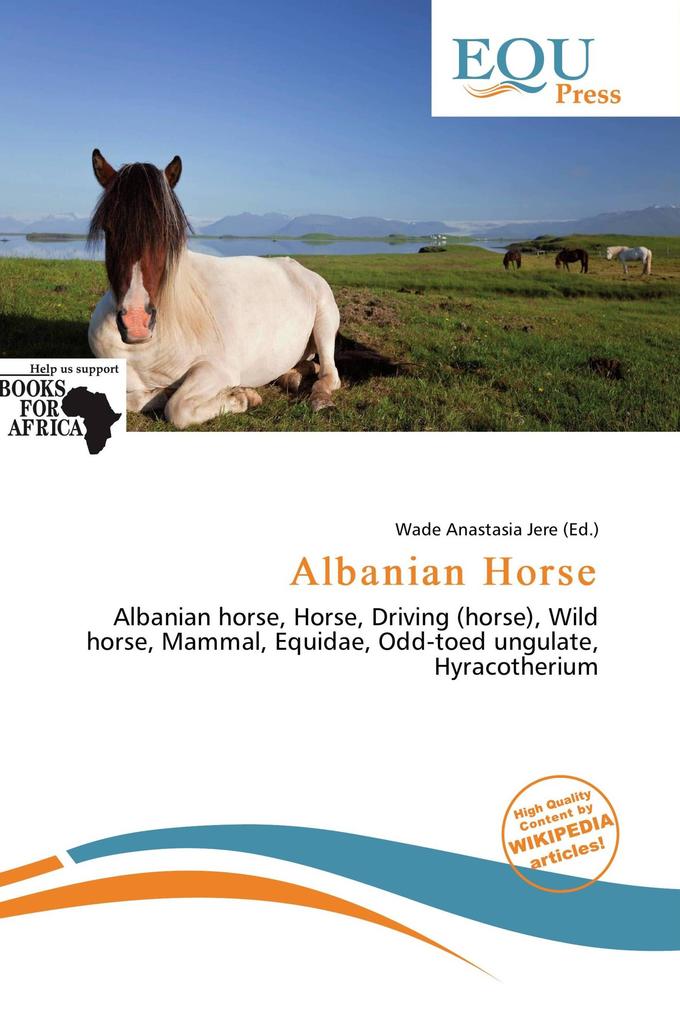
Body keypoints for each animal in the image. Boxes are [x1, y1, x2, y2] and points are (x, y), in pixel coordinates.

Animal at [87, 150, 341, 427]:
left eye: (167, 232)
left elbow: (178, 408)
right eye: (108, 229)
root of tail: (297, 267)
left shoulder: (217, 370)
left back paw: (318, 397)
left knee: (330, 374)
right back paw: (291, 376)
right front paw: (163, 392)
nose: (136, 323)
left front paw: (241, 398)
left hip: (326, 322)